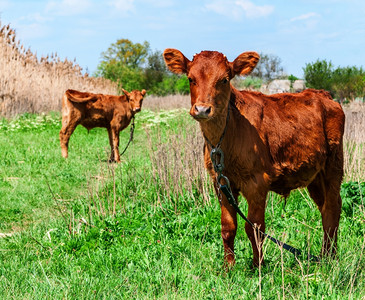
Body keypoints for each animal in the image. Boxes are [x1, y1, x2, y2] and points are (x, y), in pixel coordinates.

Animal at [163, 49, 344, 268]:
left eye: (224, 80)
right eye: (191, 78)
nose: (202, 109)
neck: (225, 139)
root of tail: (322, 94)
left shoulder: (257, 183)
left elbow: (255, 228)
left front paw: (258, 266)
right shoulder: (221, 184)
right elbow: (228, 227)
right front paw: (228, 267)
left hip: (333, 166)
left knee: (333, 208)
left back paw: (331, 258)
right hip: (314, 175)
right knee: (324, 208)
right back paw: (325, 255)